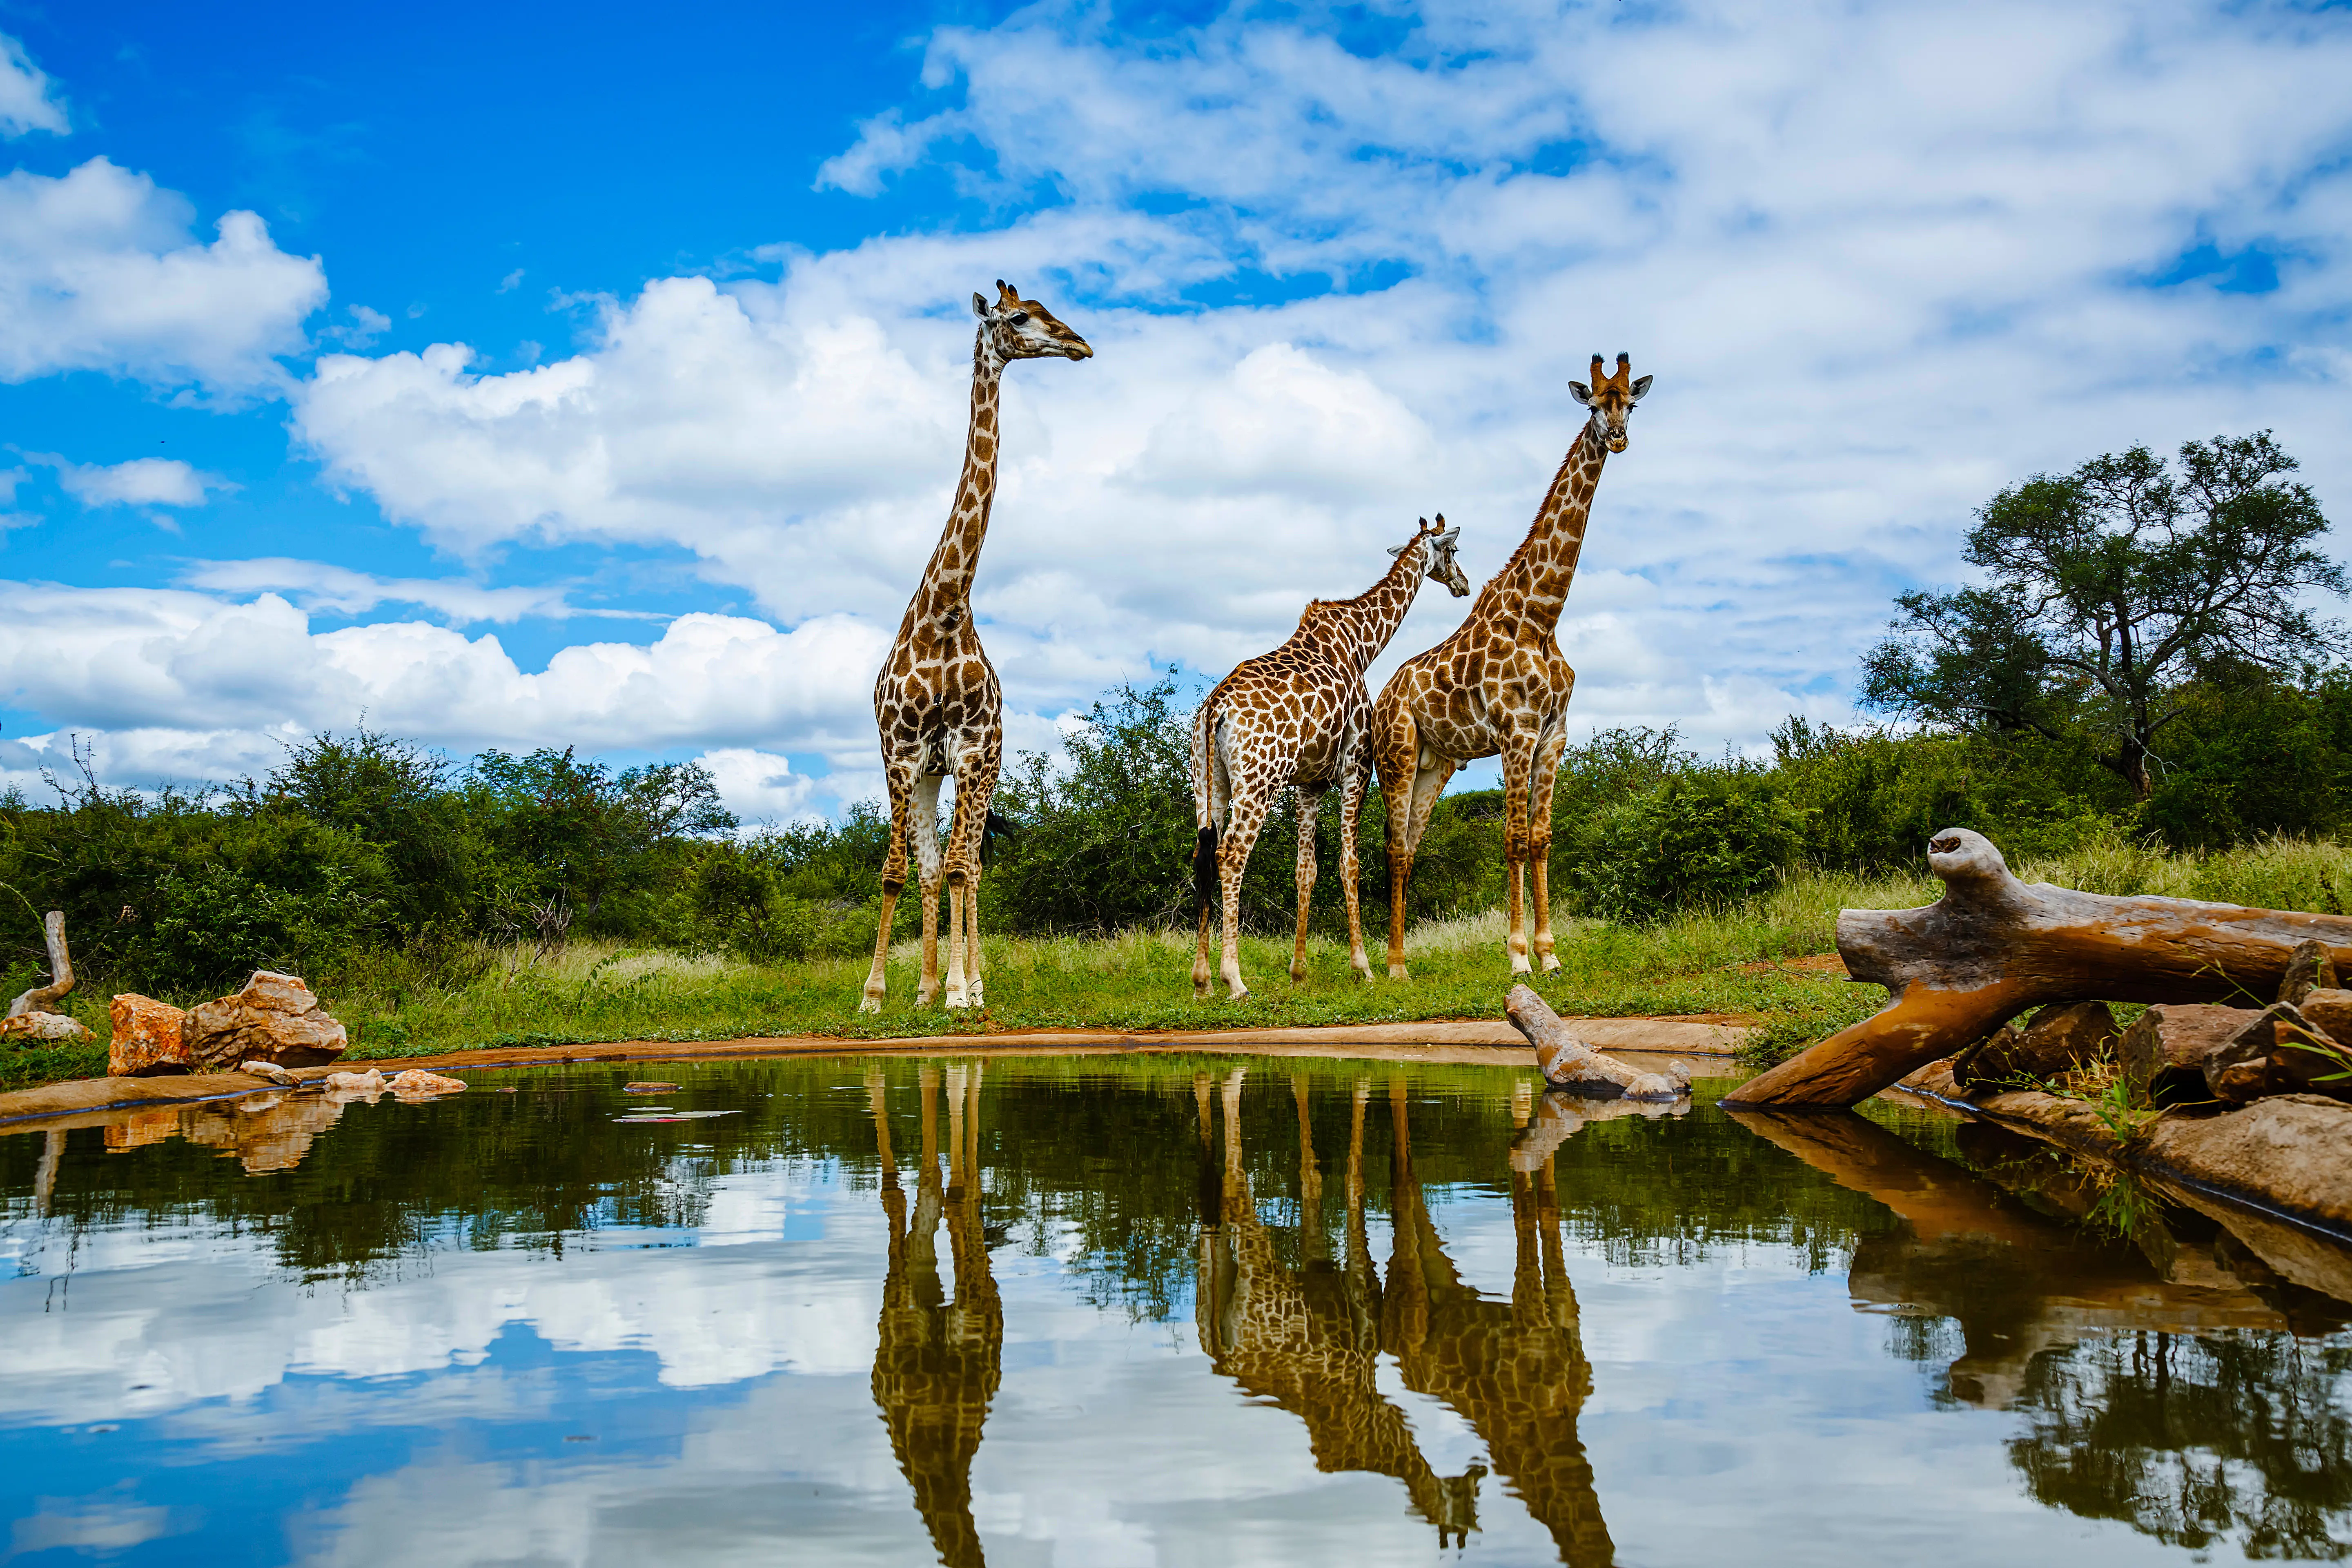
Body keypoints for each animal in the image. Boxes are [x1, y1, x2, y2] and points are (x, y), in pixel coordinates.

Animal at [860, 282, 1092, 1014]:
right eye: (1019, 318)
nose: (1079, 343)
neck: (943, 610)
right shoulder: (902, 753)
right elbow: (900, 870)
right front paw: (880, 993)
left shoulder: (966, 750)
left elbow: (964, 867)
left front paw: (964, 989)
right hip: (931, 774)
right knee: (937, 868)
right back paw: (927, 986)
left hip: (983, 766)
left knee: (973, 865)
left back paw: (969, 984)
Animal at [1190, 518, 1469, 1000]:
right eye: (1452, 552)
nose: (1463, 585)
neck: (1361, 644)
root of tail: (1215, 711)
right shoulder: (1357, 766)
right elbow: (1348, 864)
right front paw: (1364, 967)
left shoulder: (1310, 782)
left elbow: (1307, 870)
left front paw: (1299, 972)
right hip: (1259, 782)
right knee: (1230, 855)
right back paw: (1234, 979)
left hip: (1210, 785)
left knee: (1202, 854)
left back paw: (1202, 979)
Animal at [1371, 354, 1651, 980]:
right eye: (1594, 404)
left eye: (1631, 402)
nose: (1618, 438)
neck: (1543, 616)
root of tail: (1381, 700)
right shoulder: (1515, 733)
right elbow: (1514, 838)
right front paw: (1519, 956)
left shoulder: (1554, 735)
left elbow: (1543, 838)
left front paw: (1550, 953)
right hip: (1396, 756)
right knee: (1393, 845)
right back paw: (1395, 967)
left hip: (1436, 764)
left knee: (1412, 844)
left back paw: (1403, 959)